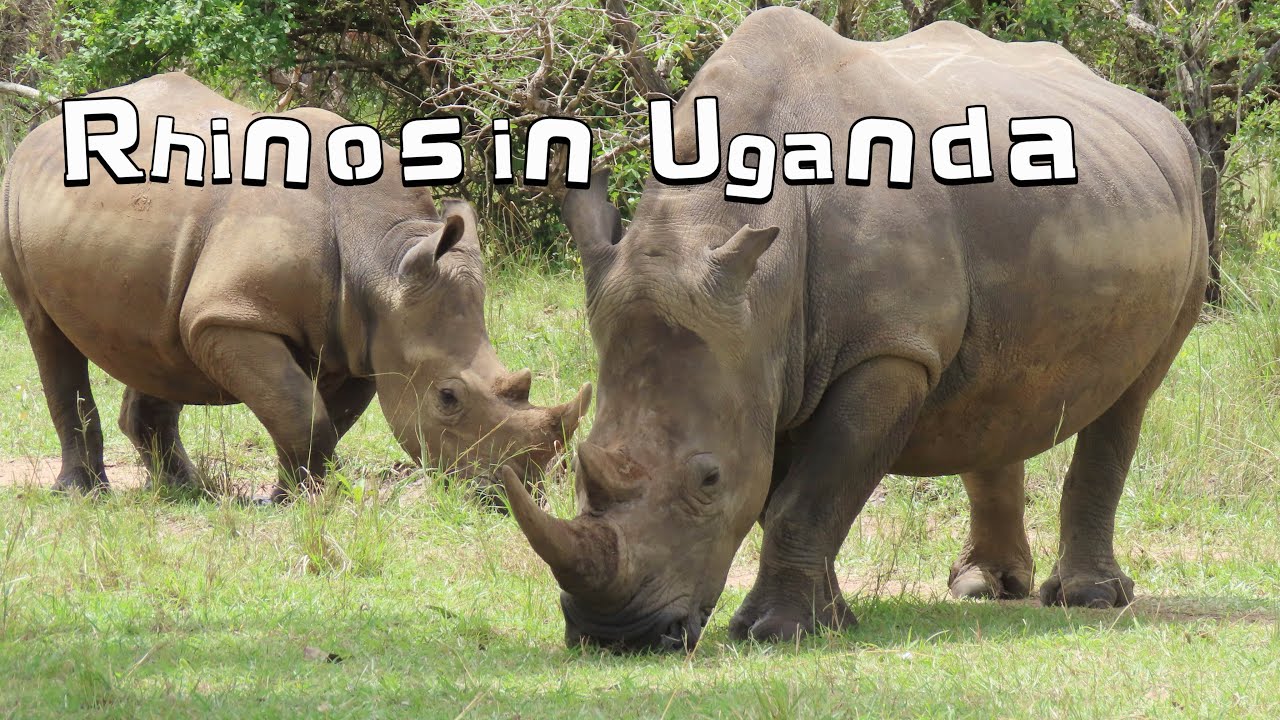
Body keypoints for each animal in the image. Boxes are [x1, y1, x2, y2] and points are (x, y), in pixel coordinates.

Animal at [0, 73, 591, 499]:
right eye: (448, 397)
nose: (514, 491)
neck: (382, 257)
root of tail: (39, 133)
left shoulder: (365, 338)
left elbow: (318, 416)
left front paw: (292, 494)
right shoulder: (233, 316)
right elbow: (302, 413)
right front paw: (298, 500)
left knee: (163, 334)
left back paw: (185, 490)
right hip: (12, 188)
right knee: (44, 330)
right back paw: (82, 494)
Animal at [501, 8, 1208, 651]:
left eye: (709, 480)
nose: (615, 635)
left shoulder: (888, 352)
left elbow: (807, 496)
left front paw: (777, 631)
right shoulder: (764, 354)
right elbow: (792, 495)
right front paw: (830, 621)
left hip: (1187, 207)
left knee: (1131, 395)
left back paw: (1089, 599)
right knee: (996, 392)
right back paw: (983, 588)